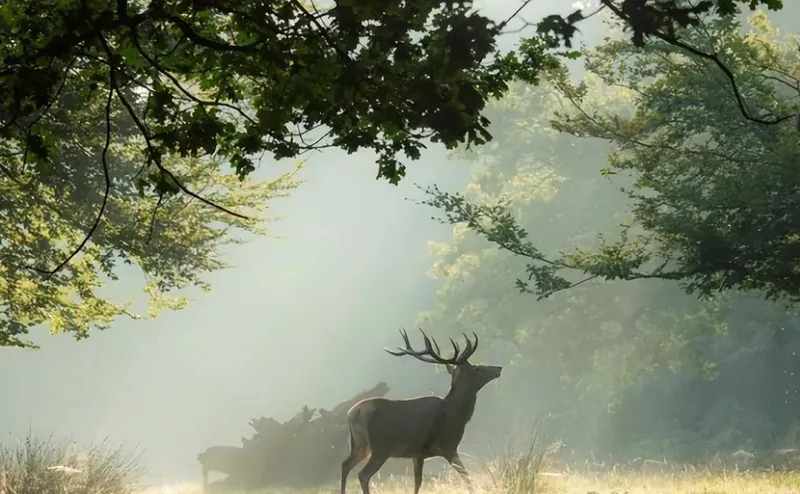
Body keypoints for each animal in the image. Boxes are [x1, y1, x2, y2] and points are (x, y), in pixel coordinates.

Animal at [340, 328, 504, 494]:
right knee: (363, 475)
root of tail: (351, 414)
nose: (499, 368)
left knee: (345, 465)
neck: (458, 413)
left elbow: (418, 482)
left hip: (360, 445)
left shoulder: (418, 454)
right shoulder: (448, 446)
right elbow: (466, 476)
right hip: (380, 447)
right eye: (477, 368)